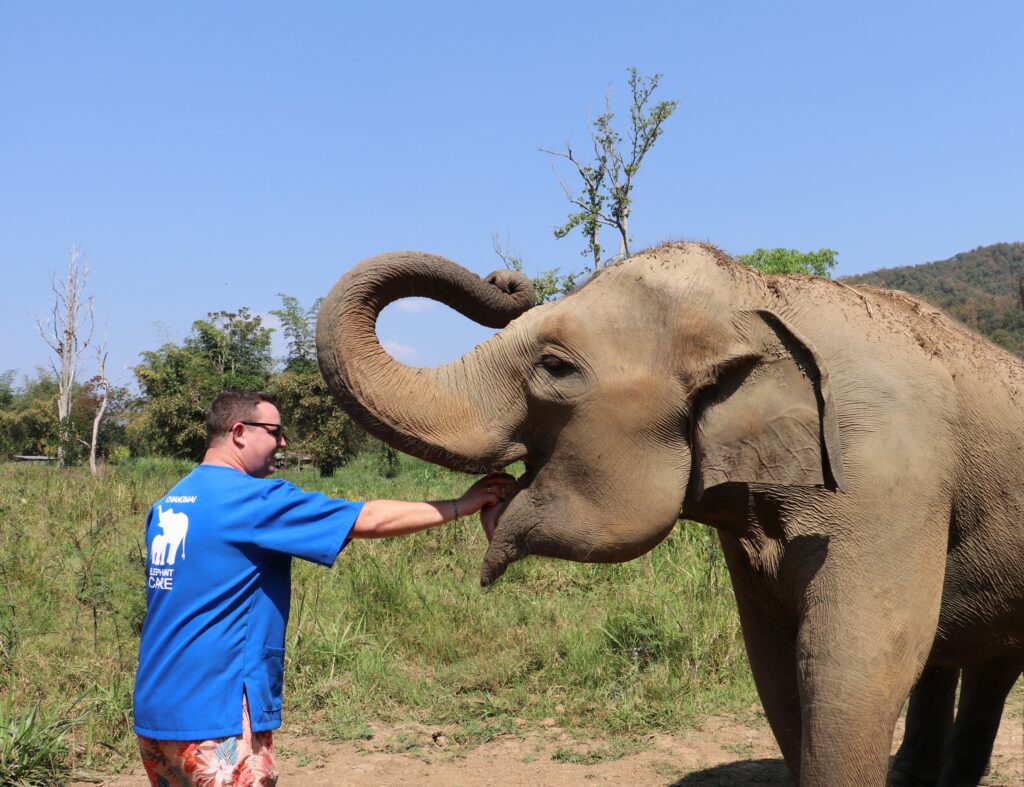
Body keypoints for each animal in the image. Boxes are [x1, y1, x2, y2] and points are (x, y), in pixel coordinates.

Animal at [316, 242, 1024, 786]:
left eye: (554, 366)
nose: (505, 280)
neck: (764, 297)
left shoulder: (889, 475)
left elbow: (853, 664)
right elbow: (775, 664)